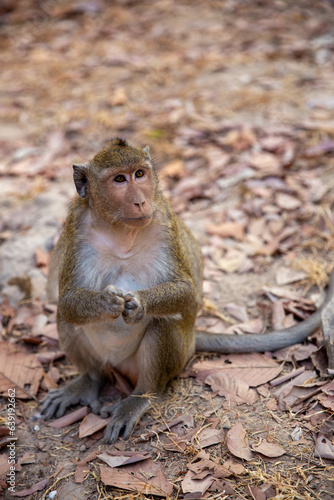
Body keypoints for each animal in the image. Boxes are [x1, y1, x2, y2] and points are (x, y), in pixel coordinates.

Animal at [41, 137, 334, 442]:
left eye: (140, 174)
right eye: (119, 179)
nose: (140, 201)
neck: (121, 231)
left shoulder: (163, 219)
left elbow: (186, 292)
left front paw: (140, 303)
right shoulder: (76, 225)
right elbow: (67, 301)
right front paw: (106, 303)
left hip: (172, 358)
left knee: (163, 325)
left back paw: (141, 398)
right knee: (67, 320)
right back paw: (89, 381)